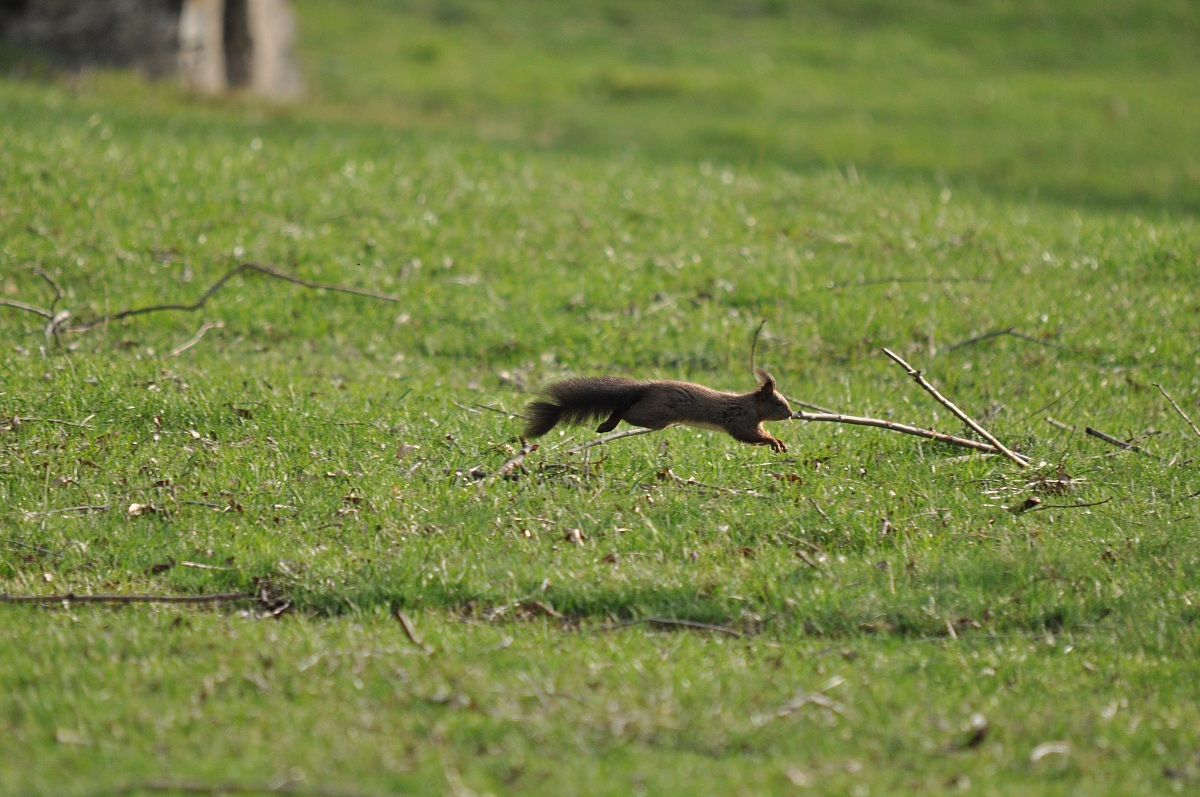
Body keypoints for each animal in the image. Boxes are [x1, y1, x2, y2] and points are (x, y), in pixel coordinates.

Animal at [524, 369, 793, 451]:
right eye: (778, 403)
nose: (791, 414)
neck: (752, 406)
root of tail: (645, 388)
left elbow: (760, 434)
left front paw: (779, 443)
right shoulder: (741, 420)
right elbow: (750, 436)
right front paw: (775, 442)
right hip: (654, 416)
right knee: (623, 410)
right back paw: (608, 424)